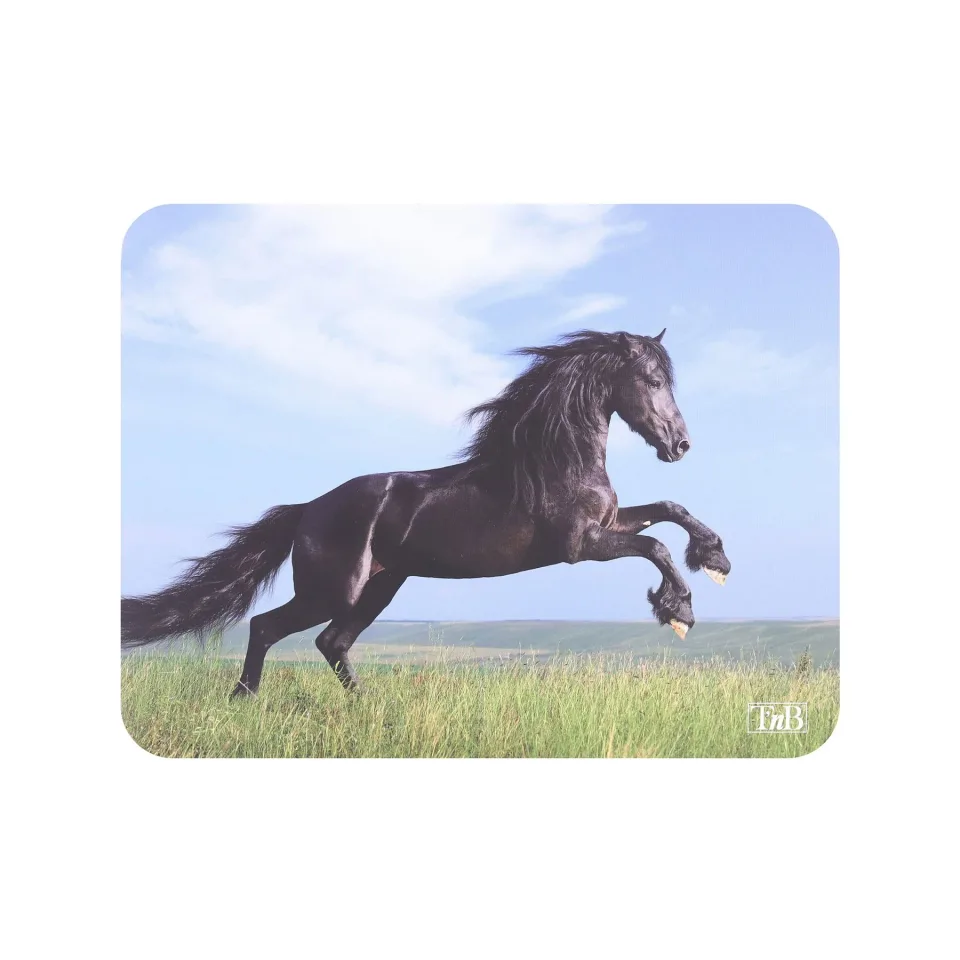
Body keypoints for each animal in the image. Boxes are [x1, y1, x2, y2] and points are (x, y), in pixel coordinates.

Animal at [121, 329, 731, 698]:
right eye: (653, 381)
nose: (680, 445)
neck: (554, 461)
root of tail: (308, 510)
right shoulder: (580, 546)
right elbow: (654, 545)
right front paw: (678, 609)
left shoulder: (607, 525)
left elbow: (669, 510)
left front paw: (715, 559)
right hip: (333, 590)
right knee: (268, 626)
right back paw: (244, 699)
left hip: (380, 587)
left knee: (332, 643)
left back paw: (365, 707)